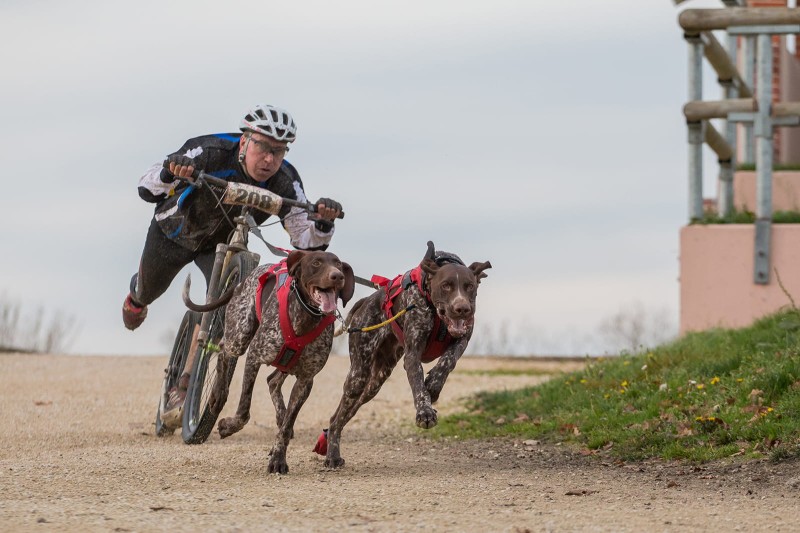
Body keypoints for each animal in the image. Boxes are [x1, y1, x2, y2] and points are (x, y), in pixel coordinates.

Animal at [322, 240, 490, 466]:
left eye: (469, 286)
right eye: (446, 285)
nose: (462, 308)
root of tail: (367, 300)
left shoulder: (462, 339)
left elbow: (448, 361)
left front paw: (433, 385)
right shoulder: (412, 355)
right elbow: (418, 384)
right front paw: (425, 412)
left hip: (375, 381)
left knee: (345, 413)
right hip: (358, 376)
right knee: (336, 417)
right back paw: (332, 455)